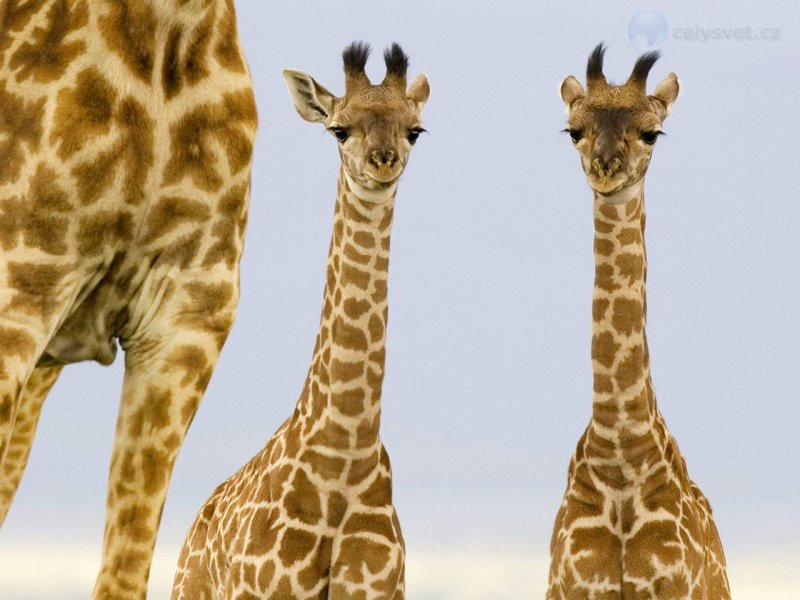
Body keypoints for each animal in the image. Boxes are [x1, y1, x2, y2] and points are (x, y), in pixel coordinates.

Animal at [171, 42, 429, 599]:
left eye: (415, 129)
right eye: (340, 129)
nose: (384, 161)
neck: (342, 459)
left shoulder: (380, 588)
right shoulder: (268, 589)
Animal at [547, 44, 730, 599]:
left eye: (652, 132)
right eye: (574, 130)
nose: (606, 168)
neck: (621, 455)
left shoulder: (675, 587)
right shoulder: (572, 586)